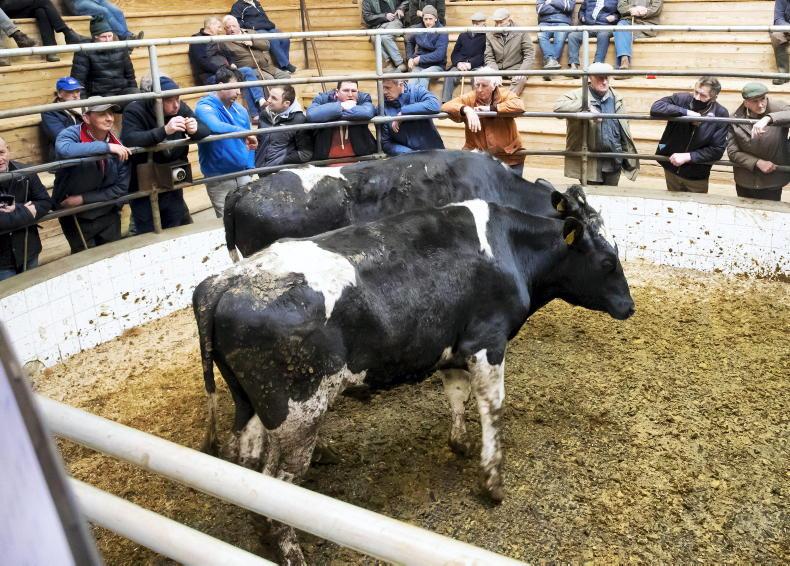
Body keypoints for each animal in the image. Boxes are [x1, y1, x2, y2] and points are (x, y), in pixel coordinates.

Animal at [193, 186, 634, 565]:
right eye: (608, 261)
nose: (628, 306)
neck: (510, 248)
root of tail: (226, 281)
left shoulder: (453, 347)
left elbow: (456, 394)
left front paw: (459, 443)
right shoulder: (487, 341)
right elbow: (492, 407)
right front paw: (492, 480)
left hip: (251, 404)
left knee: (246, 462)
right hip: (298, 412)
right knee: (275, 486)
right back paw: (291, 553)